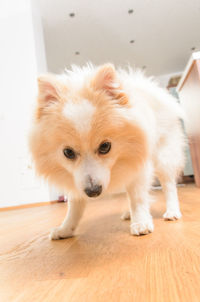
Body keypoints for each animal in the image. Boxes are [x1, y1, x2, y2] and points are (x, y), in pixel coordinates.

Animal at [28, 64, 185, 241]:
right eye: (68, 152)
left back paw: (172, 211)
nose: (93, 191)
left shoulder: (138, 165)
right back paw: (128, 213)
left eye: (105, 147)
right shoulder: (77, 180)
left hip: (164, 158)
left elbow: (137, 197)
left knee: (169, 185)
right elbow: (74, 206)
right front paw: (66, 229)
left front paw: (141, 222)